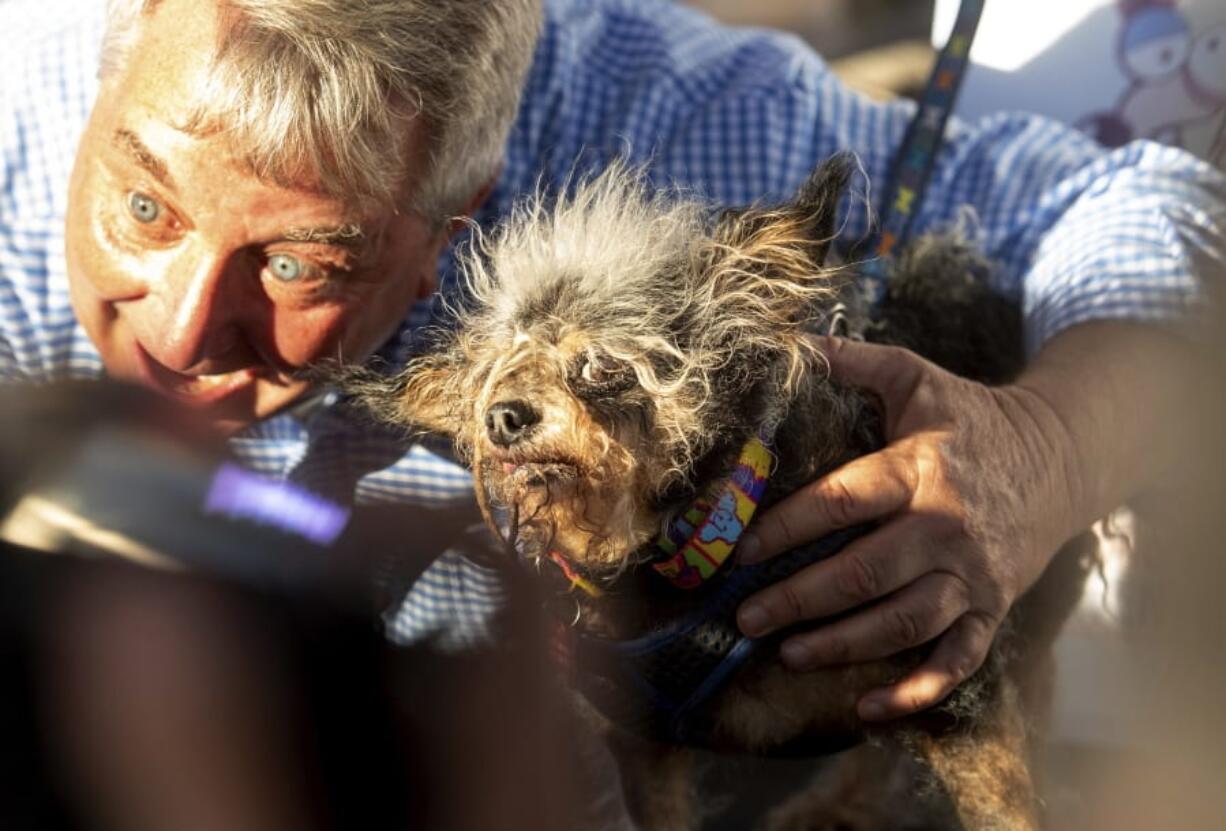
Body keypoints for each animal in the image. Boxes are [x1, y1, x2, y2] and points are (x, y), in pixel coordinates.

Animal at [353, 158, 1093, 831]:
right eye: (495, 371)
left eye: (599, 363)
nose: (503, 416)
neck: (696, 550)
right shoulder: (641, 745)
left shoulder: (951, 679)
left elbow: (1005, 808)